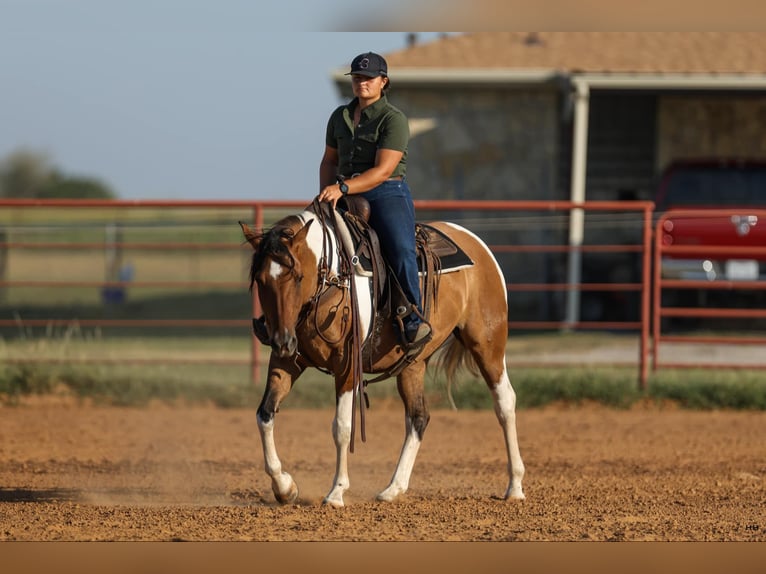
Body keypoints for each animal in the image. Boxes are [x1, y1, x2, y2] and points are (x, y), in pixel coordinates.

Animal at [239, 199, 525, 507]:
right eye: (261, 280)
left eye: (296, 276)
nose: (280, 340)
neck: (331, 280)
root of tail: (477, 244)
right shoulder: (287, 361)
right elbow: (265, 414)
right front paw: (284, 487)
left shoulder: (348, 366)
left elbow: (342, 427)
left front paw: (336, 492)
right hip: (413, 363)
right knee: (418, 417)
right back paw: (393, 488)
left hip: (488, 345)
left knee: (504, 403)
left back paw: (515, 486)